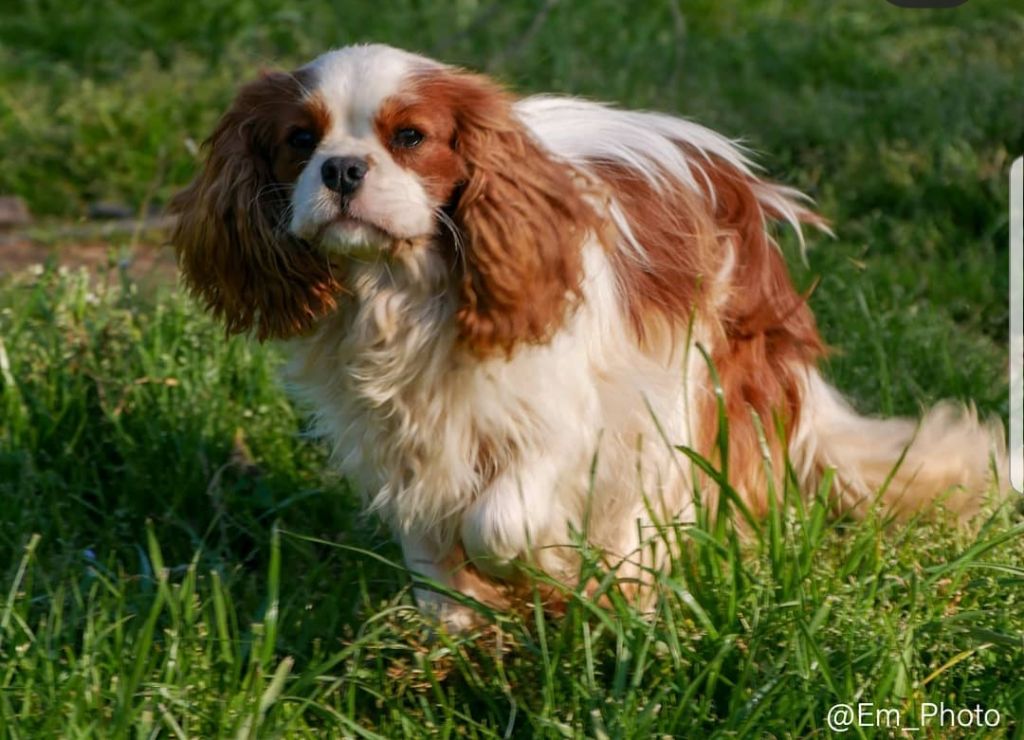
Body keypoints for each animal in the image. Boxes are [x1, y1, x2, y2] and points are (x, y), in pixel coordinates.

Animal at [172, 41, 1003, 630]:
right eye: (298, 141)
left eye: (409, 137)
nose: (342, 170)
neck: (402, 293)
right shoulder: (399, 440)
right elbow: (429, 542)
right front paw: (454, 624)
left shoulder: (569, 422)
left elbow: (498, 521)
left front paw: (541, 573)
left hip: (697, 387)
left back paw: (629, 587)